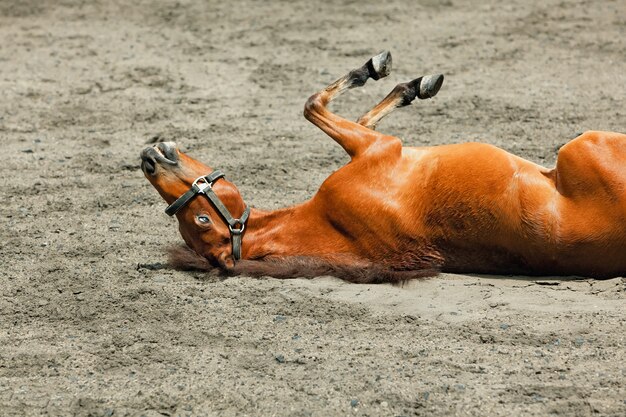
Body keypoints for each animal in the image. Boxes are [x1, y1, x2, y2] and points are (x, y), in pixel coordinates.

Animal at [140, 50, 624, 282]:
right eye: (201, 220)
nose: (149, 159)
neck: (331, 220)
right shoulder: (380, 148)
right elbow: (314, 105)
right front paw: (394, 78)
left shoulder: (375, 146)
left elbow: (343, 111)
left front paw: (402, 84)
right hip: (583, 143)